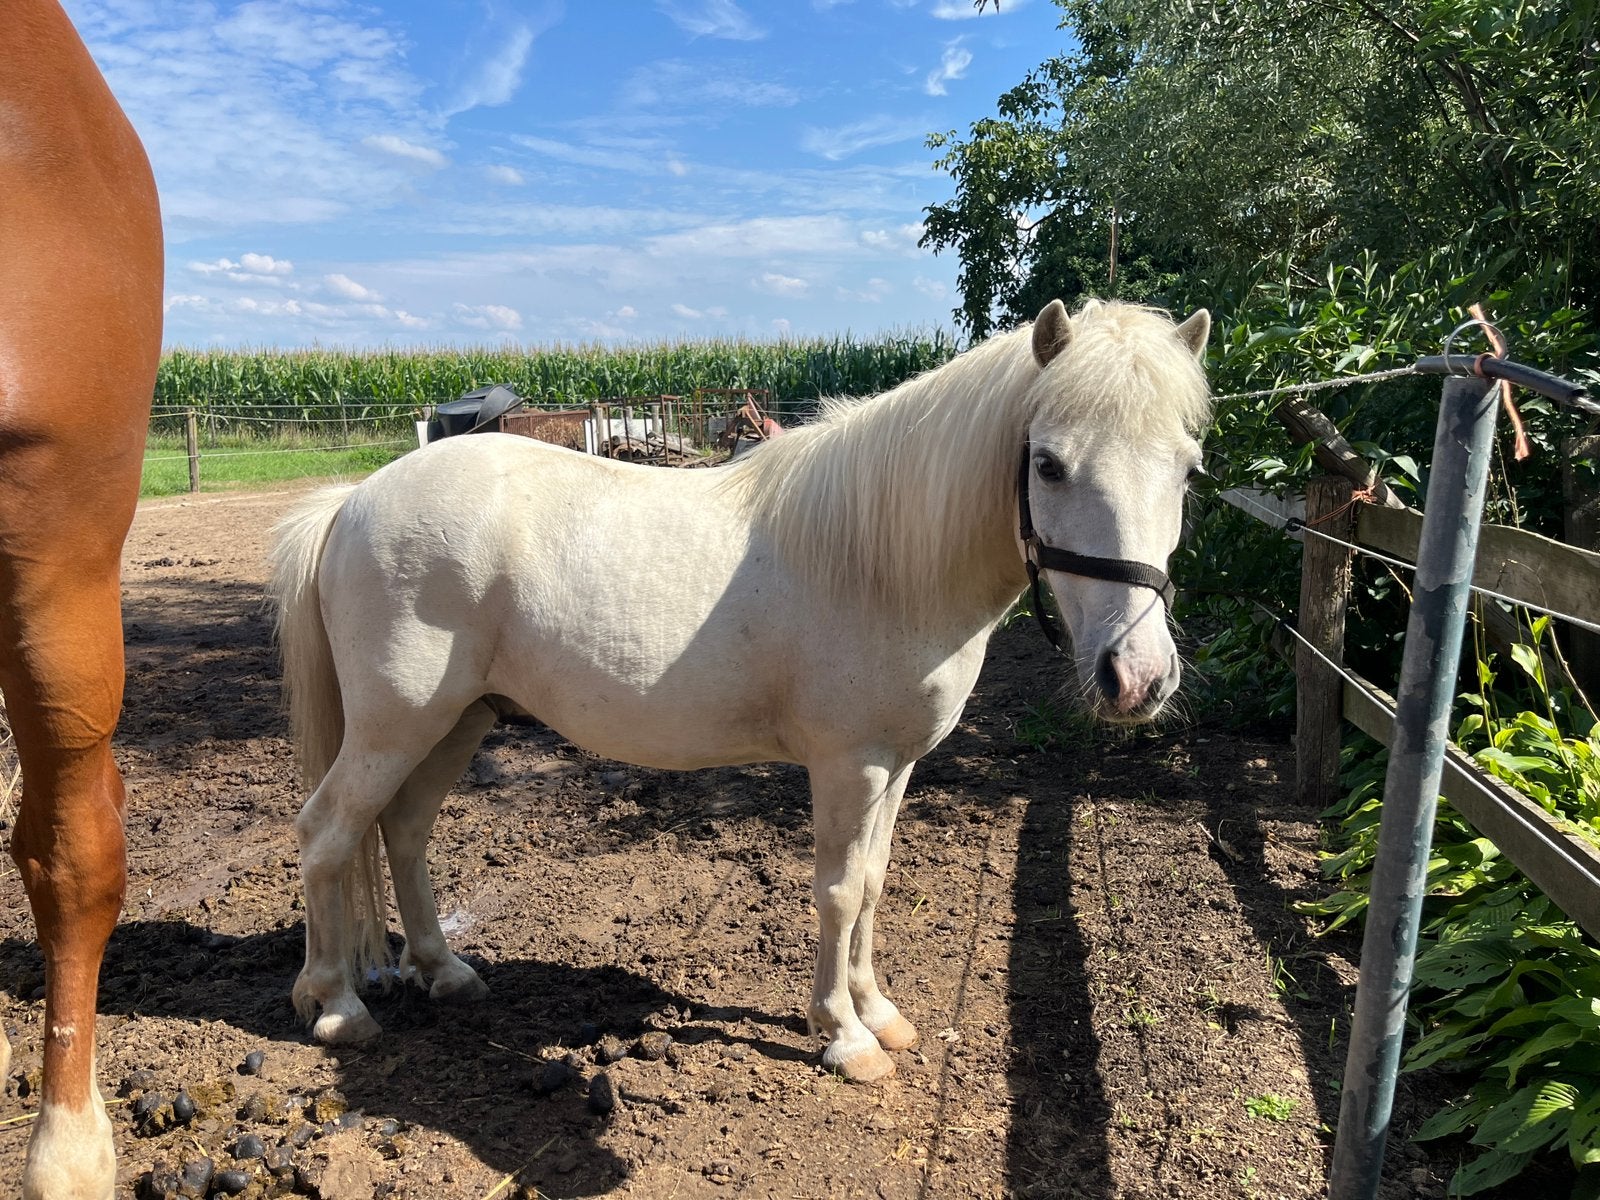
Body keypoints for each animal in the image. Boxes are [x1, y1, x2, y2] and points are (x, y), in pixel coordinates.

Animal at [269, 298, 1210, 1083]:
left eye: (1189, 470)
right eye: (1048, 465)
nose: (1137, 676)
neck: (881, 564)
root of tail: (353, 501)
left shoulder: (898, 765)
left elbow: (874, 882)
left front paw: (879, 1012)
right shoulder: (848, 765)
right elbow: (837, 891)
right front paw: (844, 1036)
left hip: (457, 721)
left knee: (402, 829)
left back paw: (445, 971)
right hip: (396, 724)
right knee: (327, 833)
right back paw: (336, 1006)